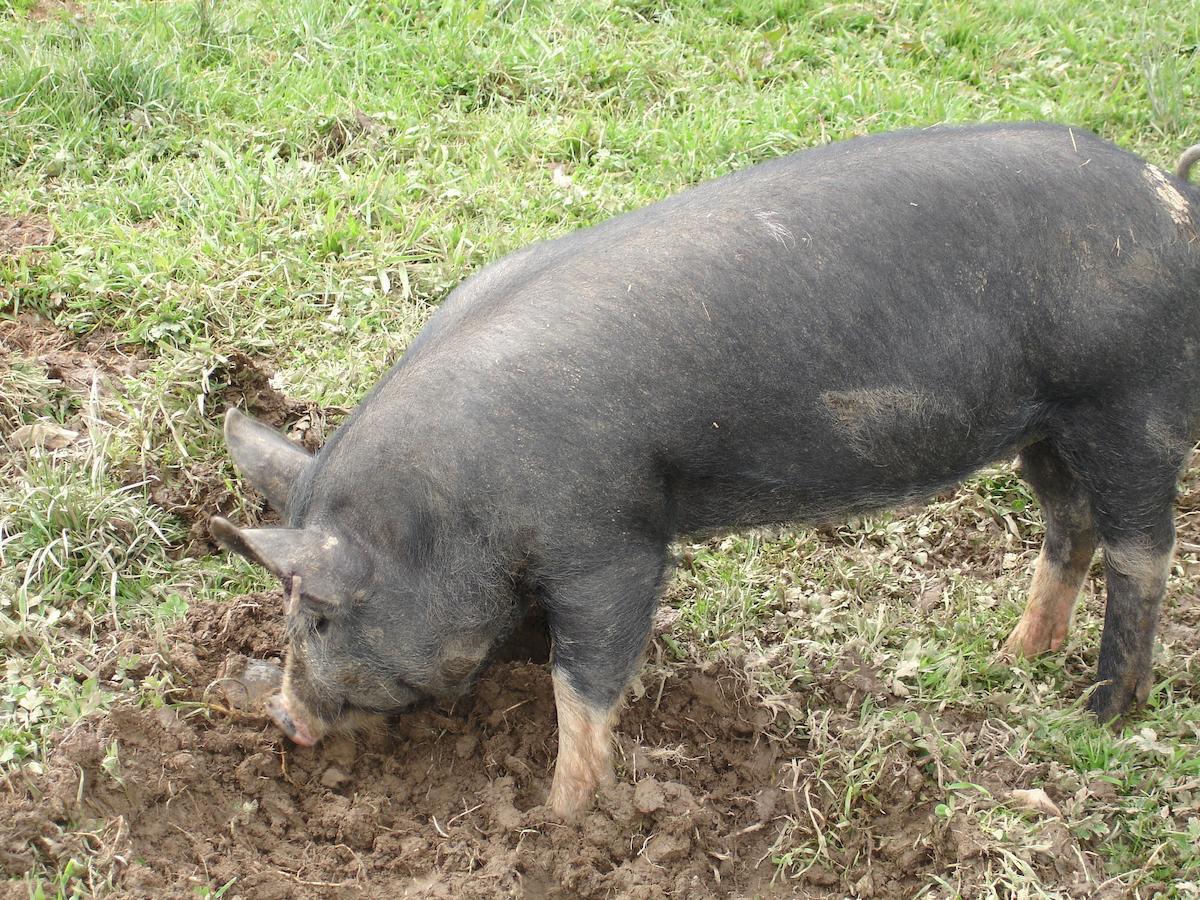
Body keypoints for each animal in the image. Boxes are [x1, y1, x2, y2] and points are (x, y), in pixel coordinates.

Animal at [211, 123, 1200, 820]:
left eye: (322, 613)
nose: (285, 719)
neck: (449, 515)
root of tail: (1172, 197)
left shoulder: (611, 539)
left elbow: (584, 682)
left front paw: (557, 819)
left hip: (1132, 403)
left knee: (1144, 552)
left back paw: (1099, 714)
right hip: (1045, 426)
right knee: (1069, 525)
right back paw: (1012, 654)